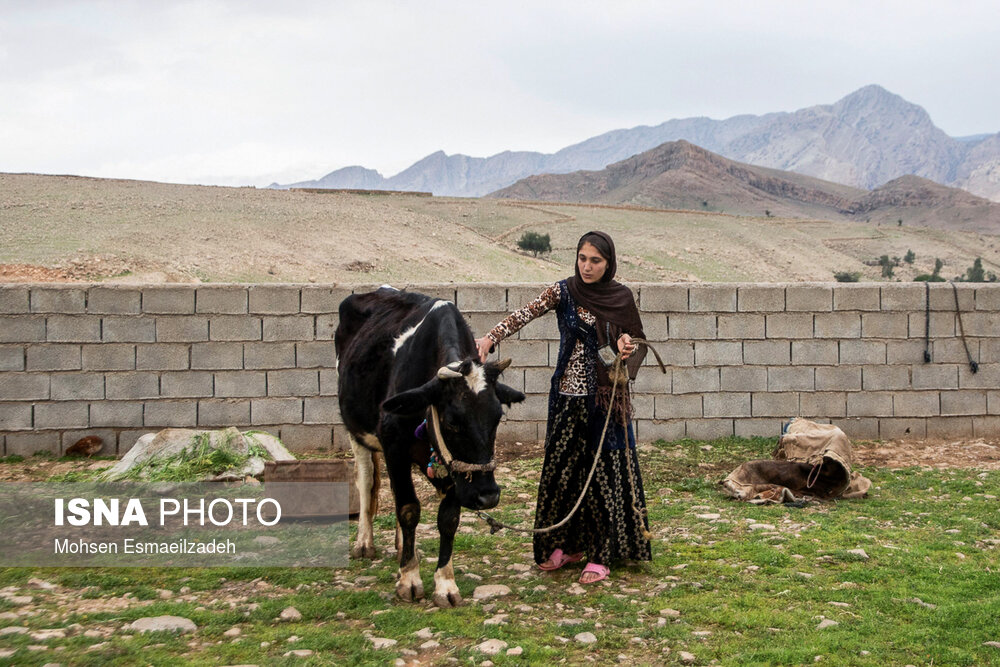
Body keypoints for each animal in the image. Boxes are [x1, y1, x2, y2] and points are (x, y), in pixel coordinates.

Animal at [336, 288, 524, 612]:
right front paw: (409, 580)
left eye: (497, 417)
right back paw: (365, 542)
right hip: (355, 431)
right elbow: (408, 508)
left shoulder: (455, 471)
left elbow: (448, 519)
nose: (487, 496)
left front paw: (445, 584)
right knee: (366, 481)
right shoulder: (394, 445)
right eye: (452, 421)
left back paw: (402, 545)